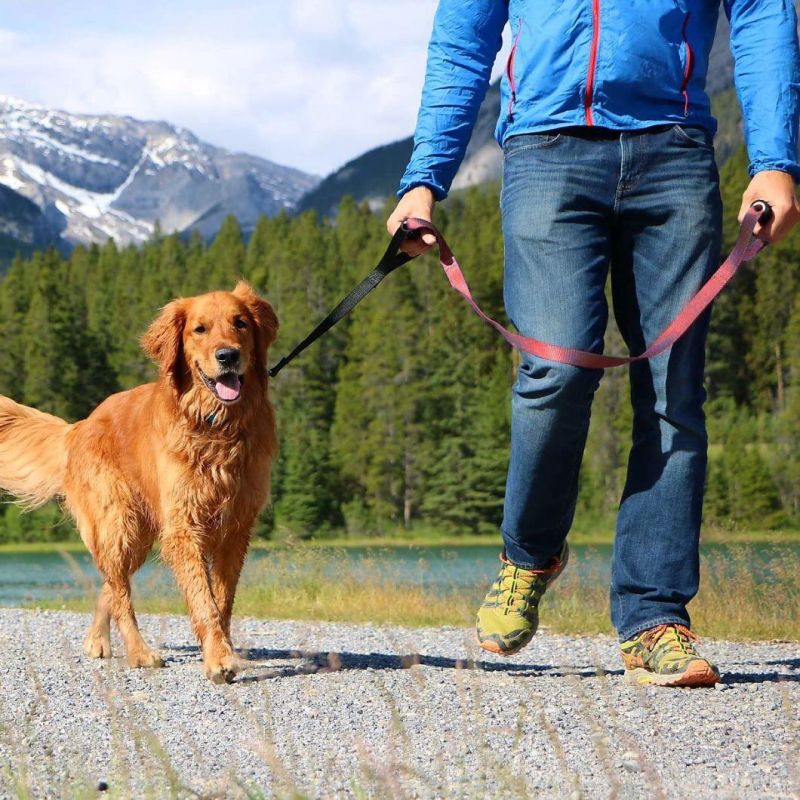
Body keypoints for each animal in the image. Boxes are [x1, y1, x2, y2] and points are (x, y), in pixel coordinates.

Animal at [0, 282, 278, 680]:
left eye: (240, 323)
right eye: (200, 329)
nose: (228, 356)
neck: (215, 426)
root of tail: (79, 426)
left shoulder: (237, 527)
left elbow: (222, 599)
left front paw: (223, 649)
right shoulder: (184, 526)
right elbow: (204, 600)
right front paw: (219, 658)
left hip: (140, 533)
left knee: (111, 585)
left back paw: (97, 640)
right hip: (120, 523)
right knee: (119, 592)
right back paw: (139, 651)